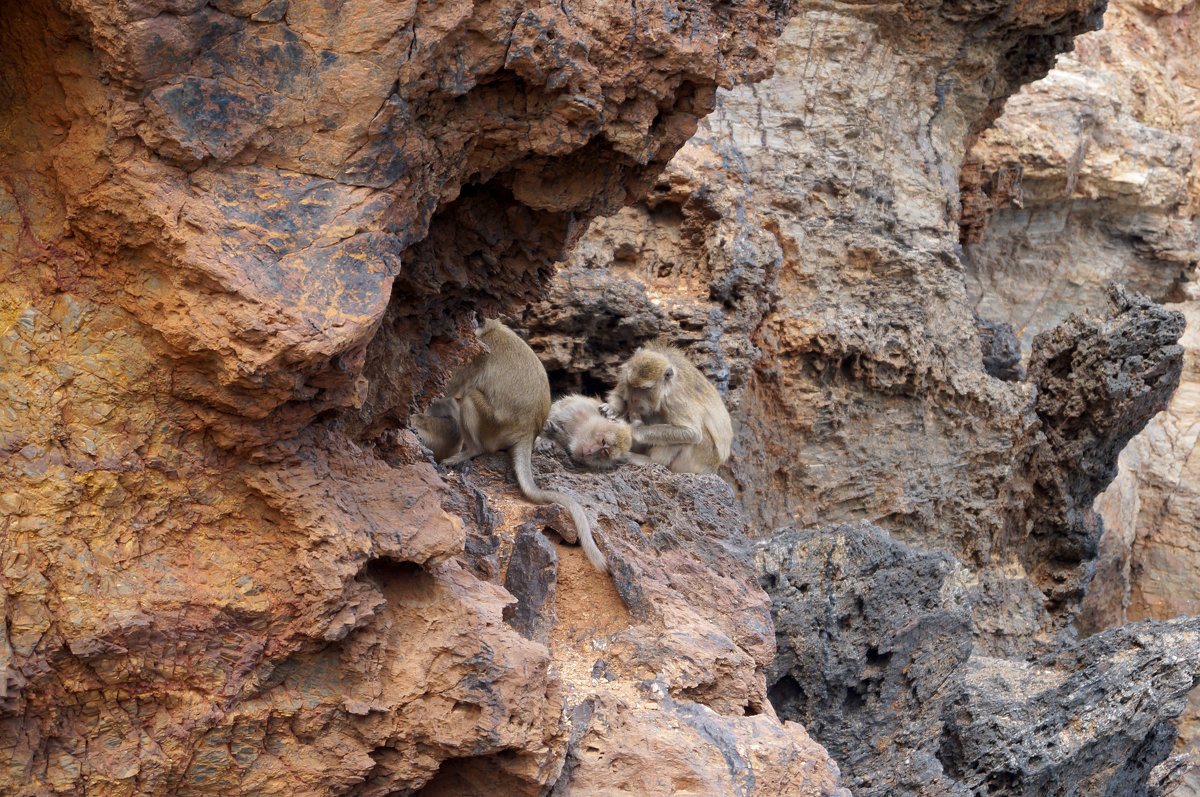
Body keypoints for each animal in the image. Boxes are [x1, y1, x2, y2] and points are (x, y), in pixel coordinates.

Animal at [415, 316, 609, 573]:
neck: (491, 330)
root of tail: (527, 432)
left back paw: (468, 452)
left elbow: (451, 388)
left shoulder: (476, 357)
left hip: (492, 428)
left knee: (469, 398)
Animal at [609, 340, 729, 472]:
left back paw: (650, 460)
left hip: (700, 459)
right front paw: (610, 408)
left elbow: (692, 433)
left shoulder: (674, 399)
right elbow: (620, 395)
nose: (634, 399)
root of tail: (713, 468)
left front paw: (634, 430)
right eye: (632, 385)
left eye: (644, 389)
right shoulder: (626, 372)